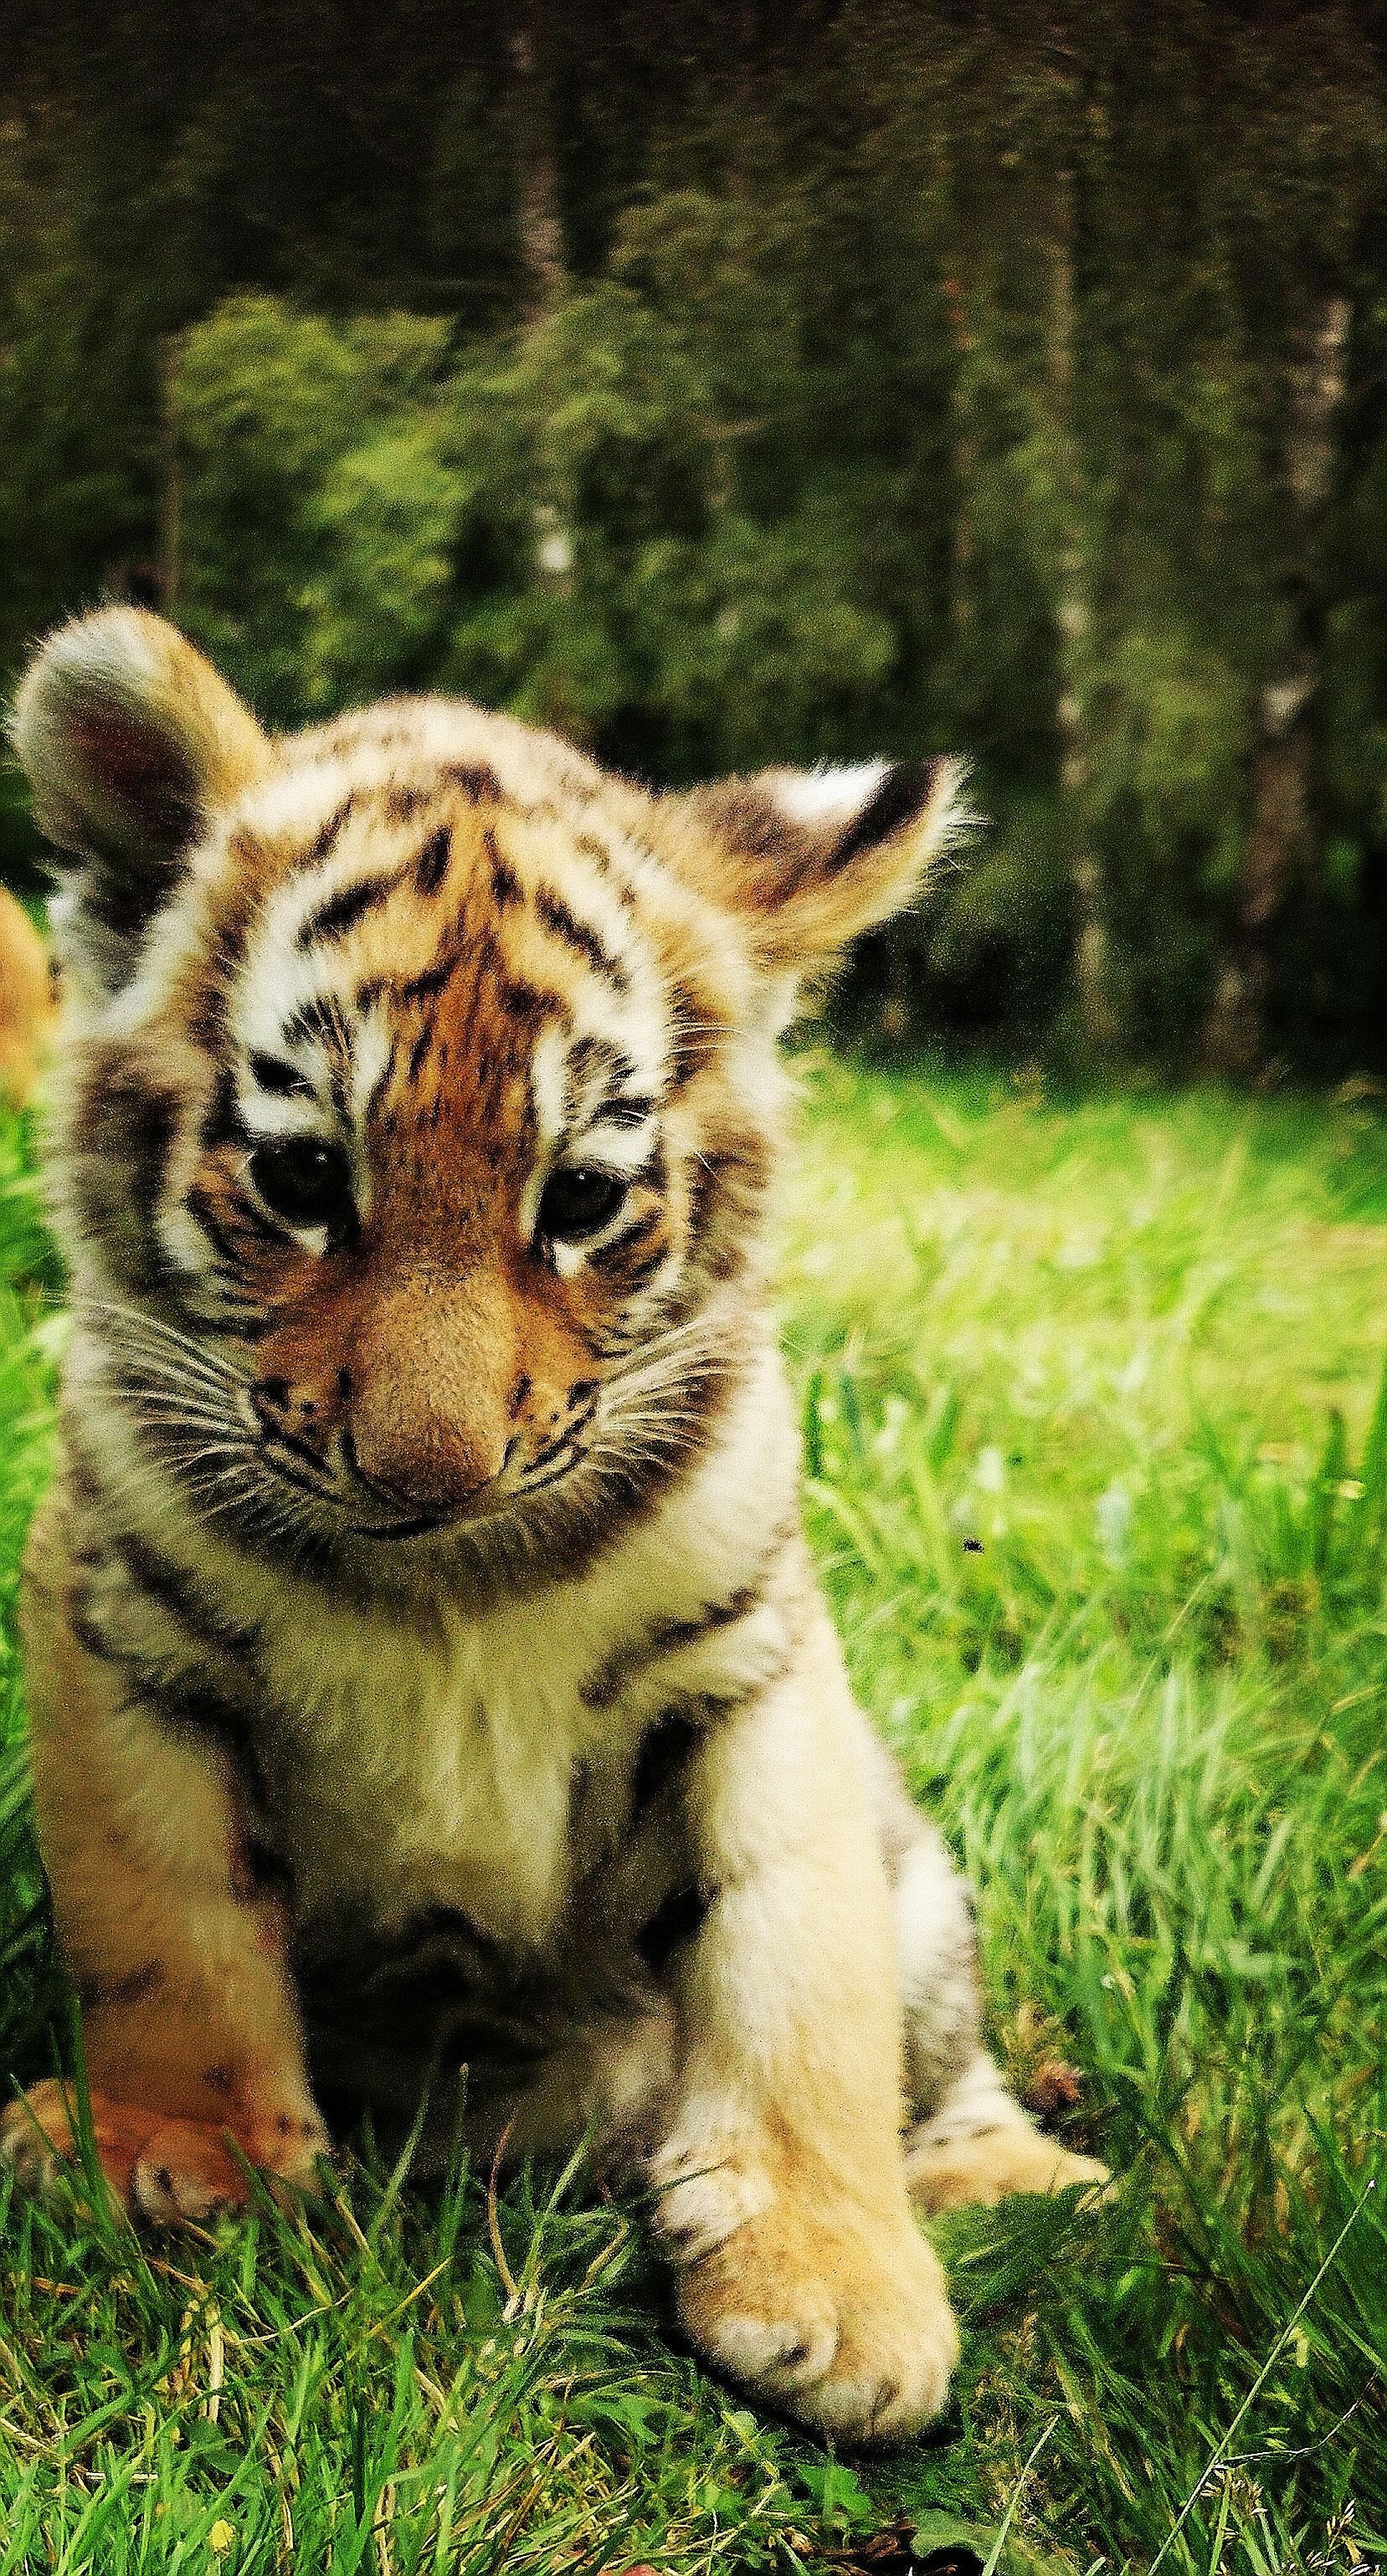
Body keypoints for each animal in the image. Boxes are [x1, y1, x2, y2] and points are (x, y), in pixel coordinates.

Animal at [0, 608, 1106, 2442]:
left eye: (578, 1199)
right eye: (301, 1179)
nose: (425, 1472)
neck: (447, 1574)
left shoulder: (750, 1669)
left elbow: (794, 1965)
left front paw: (835, 2283)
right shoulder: (128, 1640)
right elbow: (169, 1922)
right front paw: (183, 2154)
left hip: (928, 1894)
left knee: (934, 2051)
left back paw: (1018, 2180)